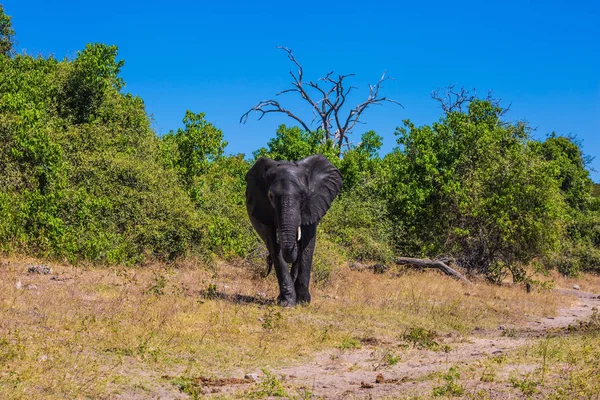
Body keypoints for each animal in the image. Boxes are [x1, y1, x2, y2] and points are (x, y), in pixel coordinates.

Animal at [246, 155, 342, 304]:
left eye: (303, 195)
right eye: (271, 196)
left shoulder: (313, 205)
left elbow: (307, 245)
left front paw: (303, 302)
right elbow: (274, 246)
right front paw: (287, 303)